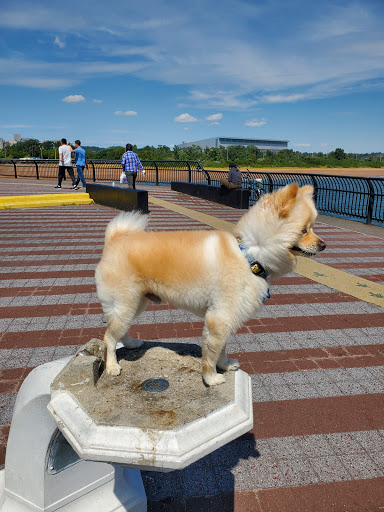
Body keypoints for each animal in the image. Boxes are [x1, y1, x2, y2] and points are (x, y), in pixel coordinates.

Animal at [95, 182, 324, 386]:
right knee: (109, 337)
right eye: (304, 231)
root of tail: (114, 240)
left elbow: (222, 348)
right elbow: (211, 353)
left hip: (136, 303)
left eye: (312, 228)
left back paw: (131, 344)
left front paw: (224, 365)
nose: (323, 244)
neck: (249, 256)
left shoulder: (226, 317)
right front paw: (211, 378)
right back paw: (112, 366)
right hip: (125, 302)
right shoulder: (219, 318)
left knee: (119, 330)